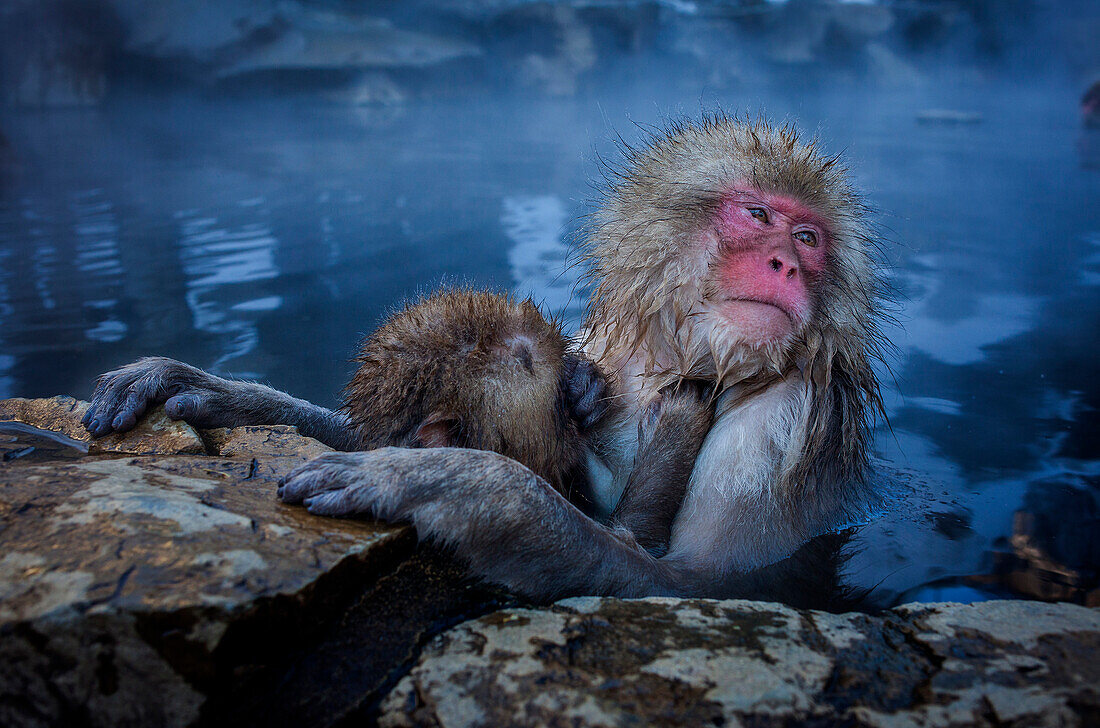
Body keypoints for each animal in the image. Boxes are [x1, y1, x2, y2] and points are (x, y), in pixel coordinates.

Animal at [279, 117, 888, 602]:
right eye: (758, 214)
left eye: (807, 237)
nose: (787, 264)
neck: (684, 357)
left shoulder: (783, 418)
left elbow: (698, 582)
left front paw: (450, 483)